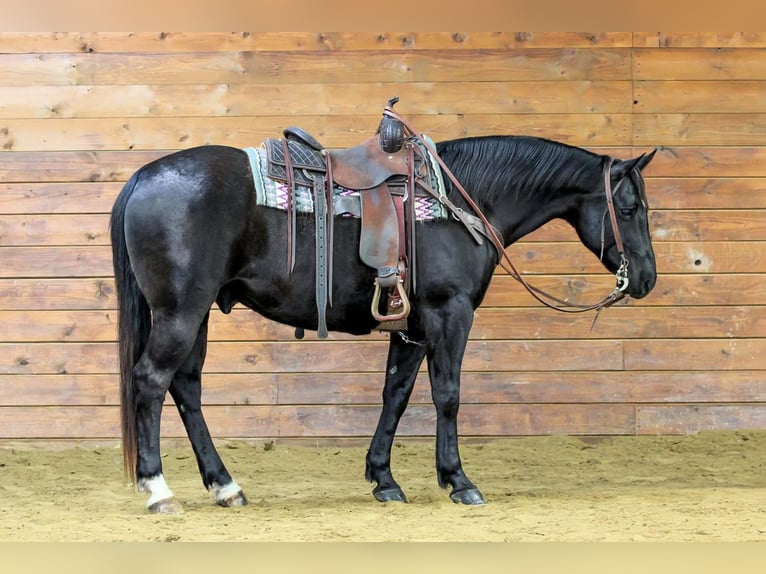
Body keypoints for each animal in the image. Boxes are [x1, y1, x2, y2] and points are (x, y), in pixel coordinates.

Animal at [110, 120, 657, 513]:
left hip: (197, 313)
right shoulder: (449, 313)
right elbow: (448, 395)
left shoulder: (411, 328)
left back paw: (225, 486)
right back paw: (159, 490)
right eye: (629, 209)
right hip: (180, 311)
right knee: (152, 381)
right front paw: (458, 480)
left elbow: (396, 394)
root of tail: (144, 177)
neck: (461, 198)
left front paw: (384, 479)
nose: (646, 279)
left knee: (186, 388)